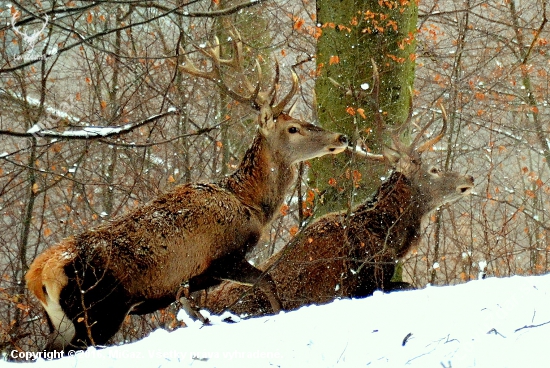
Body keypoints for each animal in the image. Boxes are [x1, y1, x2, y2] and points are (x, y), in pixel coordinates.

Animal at [24, 35, 350, 354]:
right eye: (293, 128)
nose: (342, 136)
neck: (250, 204)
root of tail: (37, 277)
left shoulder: (189, 281)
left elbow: (194, 311)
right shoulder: (223, 257)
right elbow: (267, 282)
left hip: (62, 322)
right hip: (97, 310)